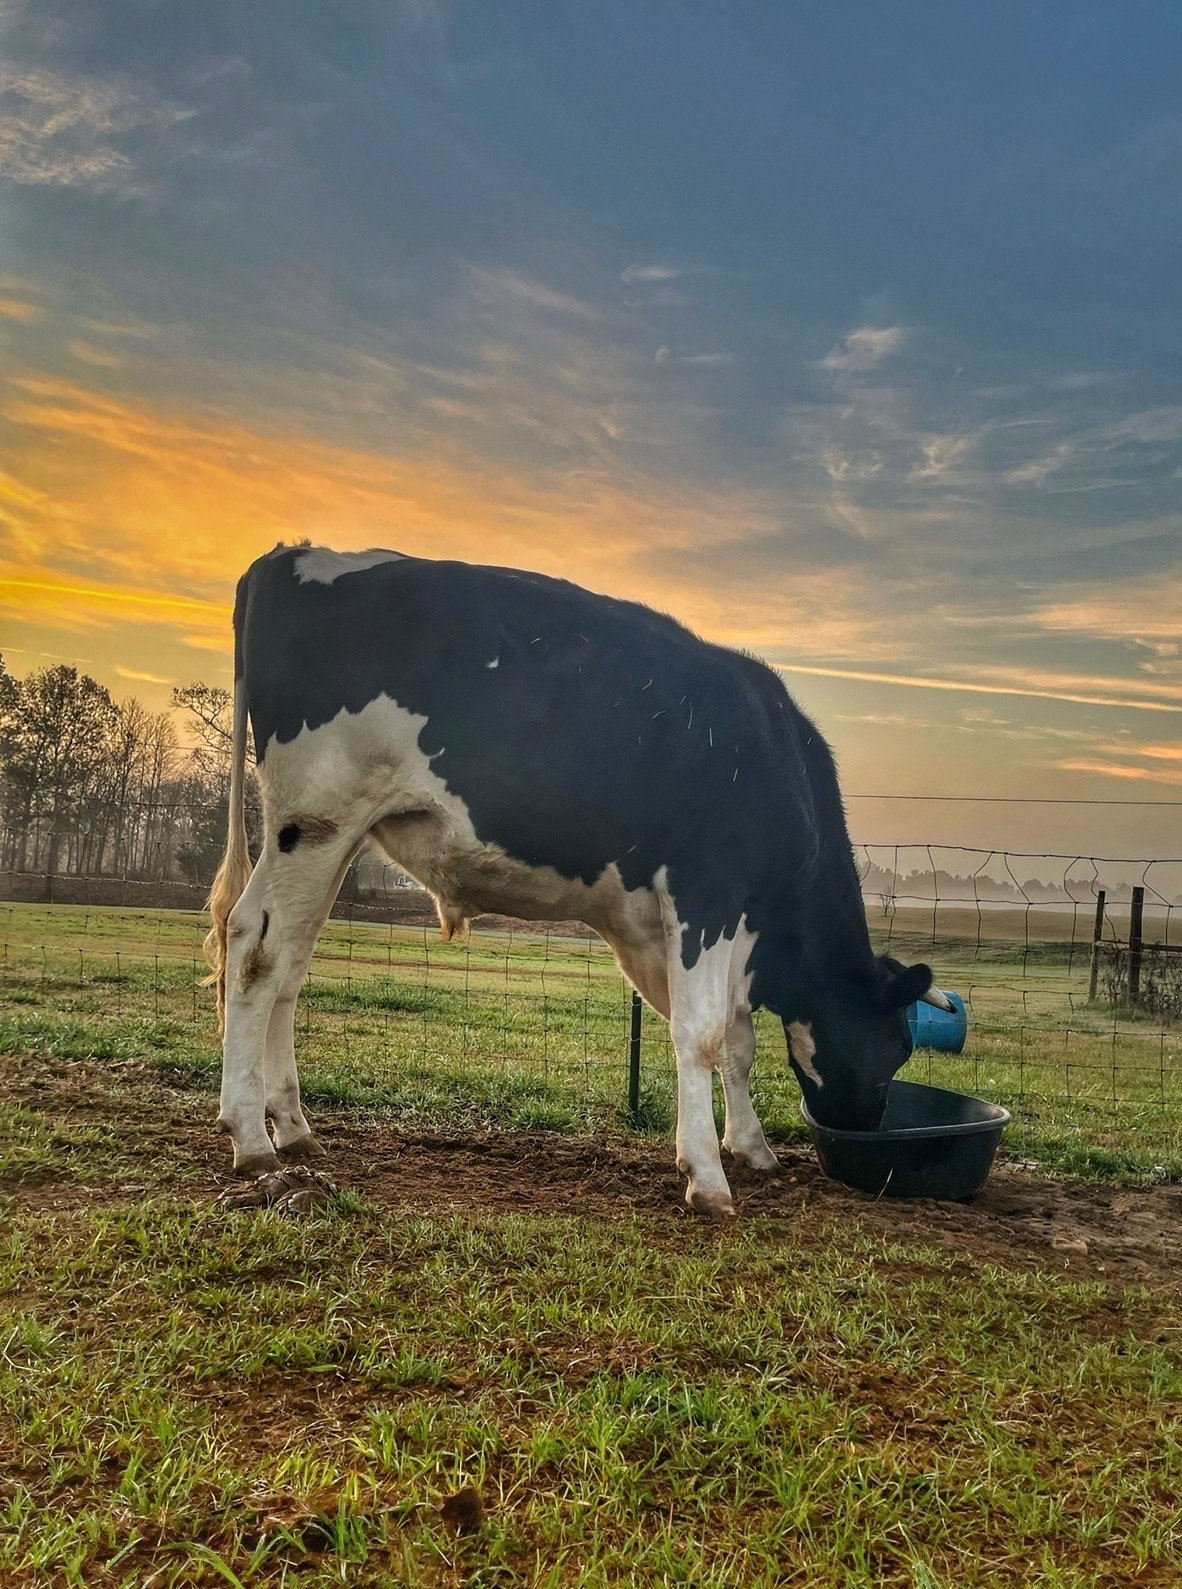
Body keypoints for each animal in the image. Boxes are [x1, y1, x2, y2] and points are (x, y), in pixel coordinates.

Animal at [206, 542, 952, 1215]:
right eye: (898, 1045)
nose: (867, 1132)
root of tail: (288, 555)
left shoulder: (724, 927)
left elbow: (737, 1039)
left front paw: (749, 1146)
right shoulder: (705, 891)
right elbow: (703, 1034)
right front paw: (708, 1176)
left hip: (338, 839)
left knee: (290, 964)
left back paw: (294, 1127)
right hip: (315, 817)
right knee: (255, 948)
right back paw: (250, 1136)